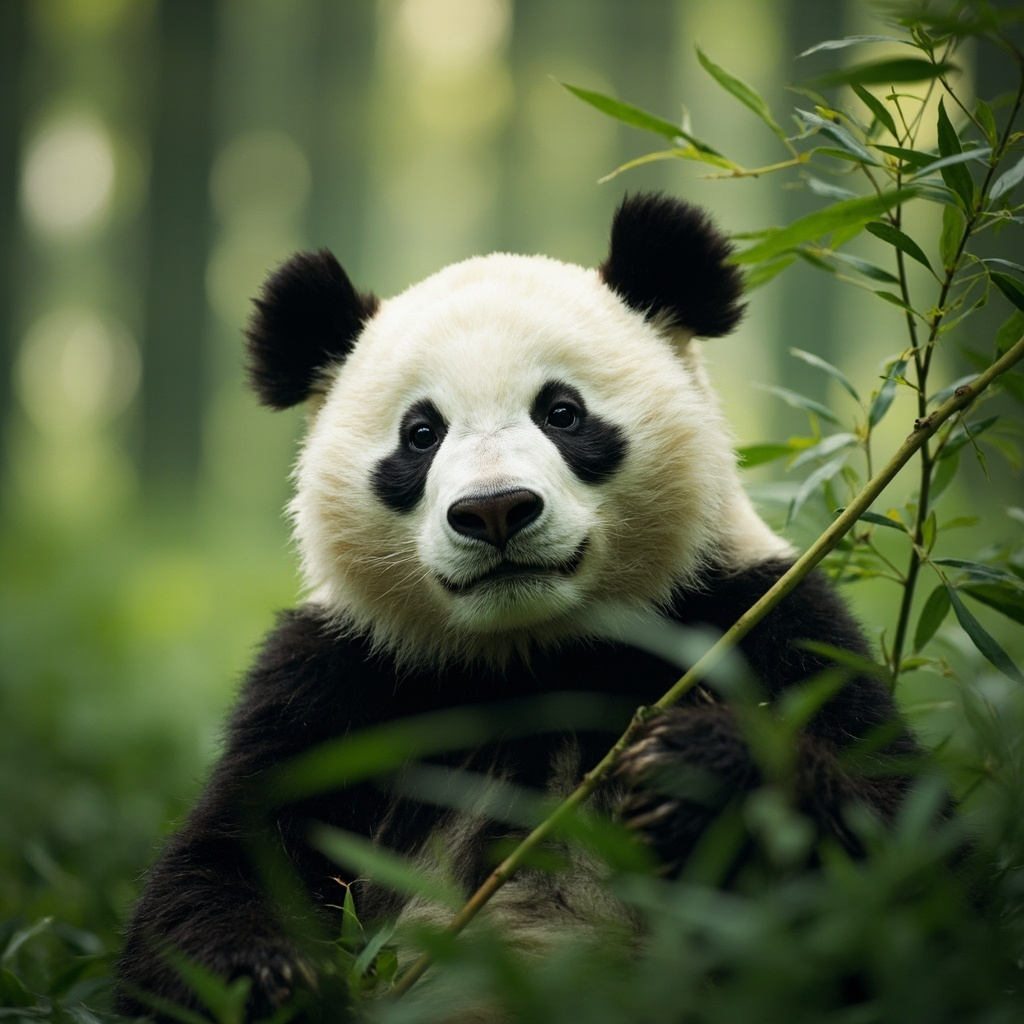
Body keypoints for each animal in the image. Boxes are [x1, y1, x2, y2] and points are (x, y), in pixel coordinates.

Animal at [116, 193, 921, 1022]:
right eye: (421, 434)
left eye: (562, 413)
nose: (495, 509)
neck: (533, 649)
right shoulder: (338, 682)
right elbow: (221, 862)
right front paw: (267, 980)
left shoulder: (761, 619)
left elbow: (898, 844)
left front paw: (692, 764)